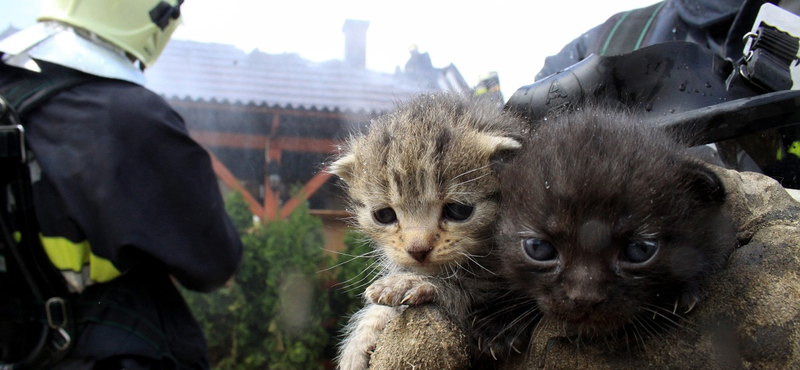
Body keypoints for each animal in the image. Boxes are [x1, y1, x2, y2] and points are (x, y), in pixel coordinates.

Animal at [330, 92, 524, 370]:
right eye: (384, 215)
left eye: (458, 210)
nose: (417, 250)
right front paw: (362, 337)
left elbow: (472, 288)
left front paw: (414, 283)